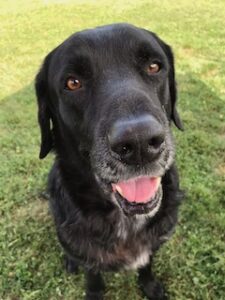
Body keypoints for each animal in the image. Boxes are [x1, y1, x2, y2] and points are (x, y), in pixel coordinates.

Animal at [34, 22, 183, 298]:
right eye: (73, 83)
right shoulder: (89, 257)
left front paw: (150, 286)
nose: (139, 143)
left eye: (154, 66)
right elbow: (93, 276)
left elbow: (146, 265)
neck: (126, 222)